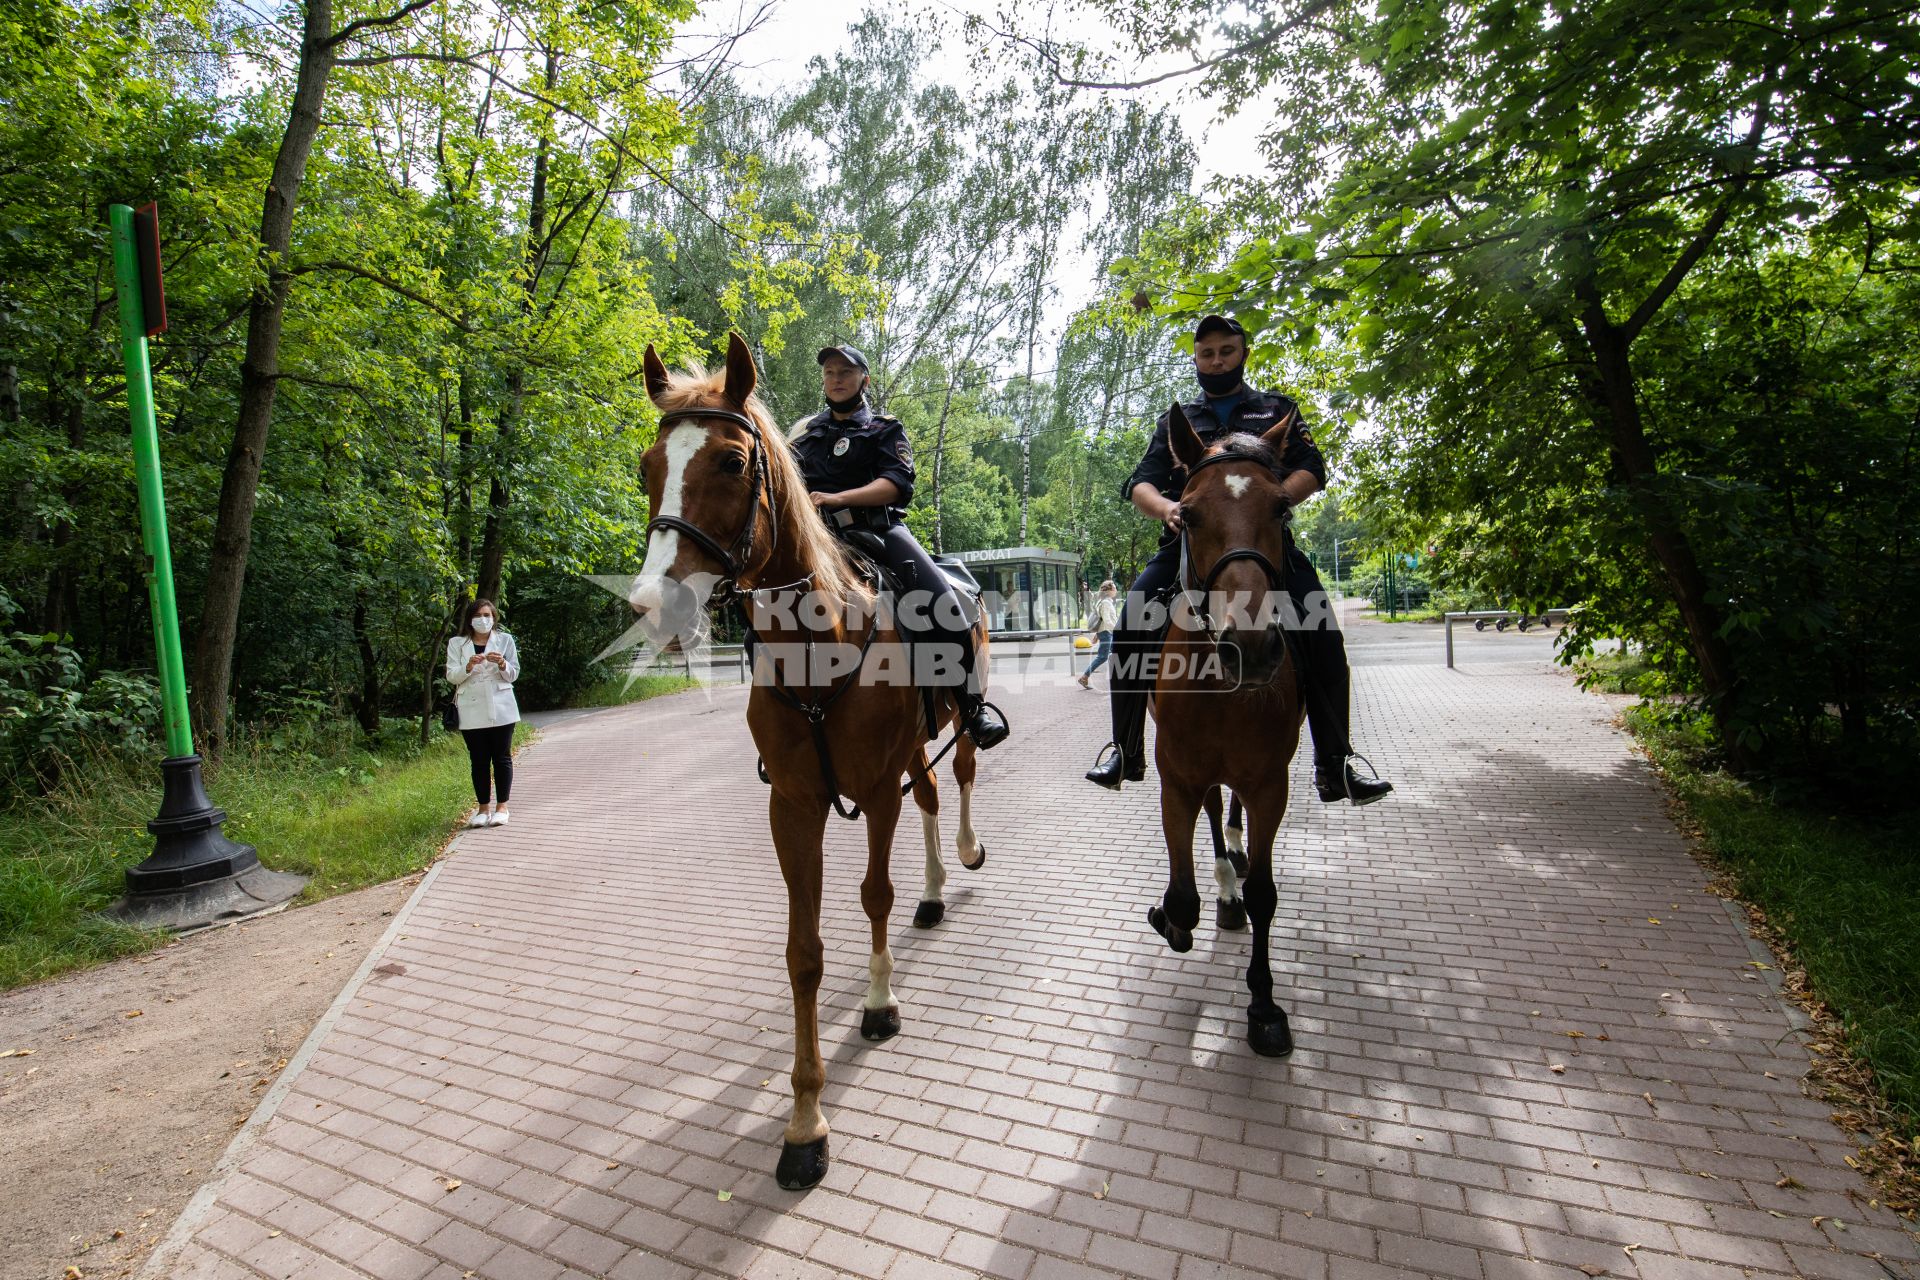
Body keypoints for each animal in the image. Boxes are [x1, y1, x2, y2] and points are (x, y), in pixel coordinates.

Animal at [629, 333, 990, 1189]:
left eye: (731, 461)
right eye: (647, 465)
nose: (652, 605)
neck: (821, 642)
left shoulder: (874, 790)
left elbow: (874, 896)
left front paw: (880, 1004)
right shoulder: (792, 806)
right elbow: (804, 954)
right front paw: (803, 1123)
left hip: (959, 717)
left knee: (957, 780)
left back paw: (961, 855)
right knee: (931, 792)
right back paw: (935, 890)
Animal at [1144, 402, 1313, 1059]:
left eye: (1282, 509)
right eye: (1187, 514)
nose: (1253, 646)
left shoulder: (1270, 784)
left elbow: (1267, 894)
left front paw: (1264, 1004)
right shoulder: (1176, 780)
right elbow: (1182, 900)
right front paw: (1173, 918)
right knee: (1218, 812)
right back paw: (1225, 885)